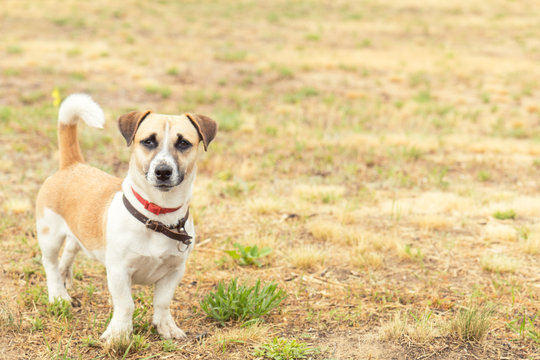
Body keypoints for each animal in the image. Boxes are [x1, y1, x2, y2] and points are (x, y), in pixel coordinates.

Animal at [34, 94, 217, 342]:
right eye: (148, 141)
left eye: (183, 143)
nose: (163, 171)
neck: (158, 216)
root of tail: (72, 164)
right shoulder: (119, 271)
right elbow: (126, 305)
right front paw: (119, 334)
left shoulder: (174, 271)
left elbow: (162, 302)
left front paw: (166, 327)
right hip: (49, 235)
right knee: (50, 263)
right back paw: (58, 294)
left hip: (78, 234)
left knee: (69, 252)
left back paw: (65, 278)